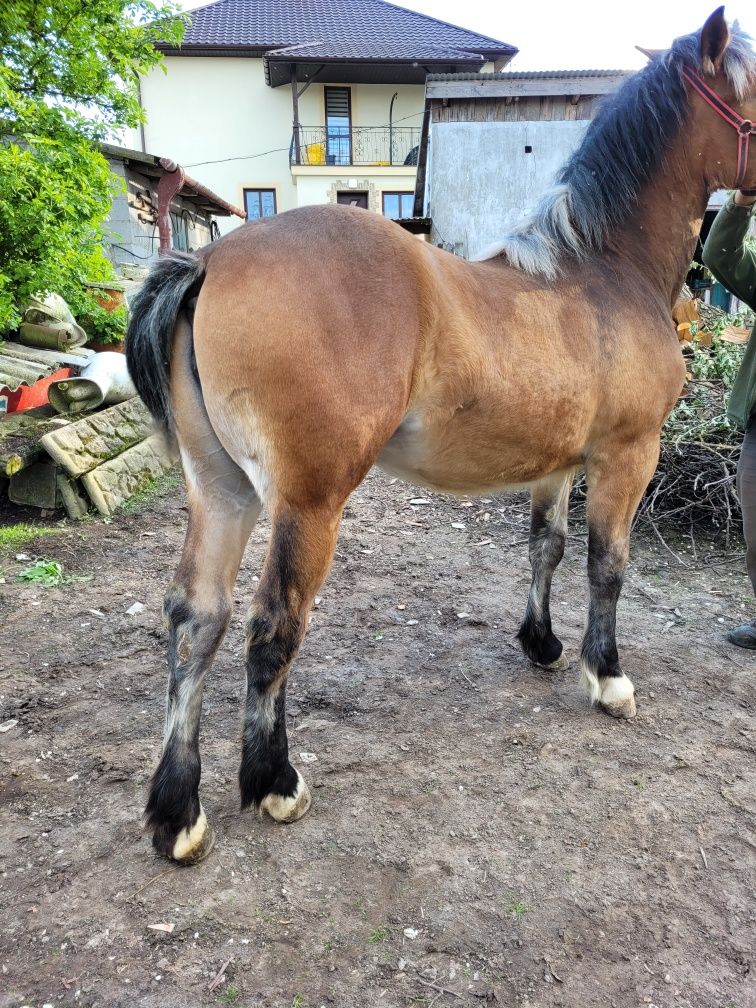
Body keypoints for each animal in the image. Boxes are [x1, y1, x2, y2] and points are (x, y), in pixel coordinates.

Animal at [127, 7, 753, 862]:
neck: (602, 272)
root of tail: (210, 258)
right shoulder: (628, 457)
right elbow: (608, 566)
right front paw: (608, 676)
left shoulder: (557, 465)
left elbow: (547, 549)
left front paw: (542, 645)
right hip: (306, 504)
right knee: (273, 624)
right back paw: (274, 782)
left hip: (220, 492)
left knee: (198, 619)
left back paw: (176, 813)